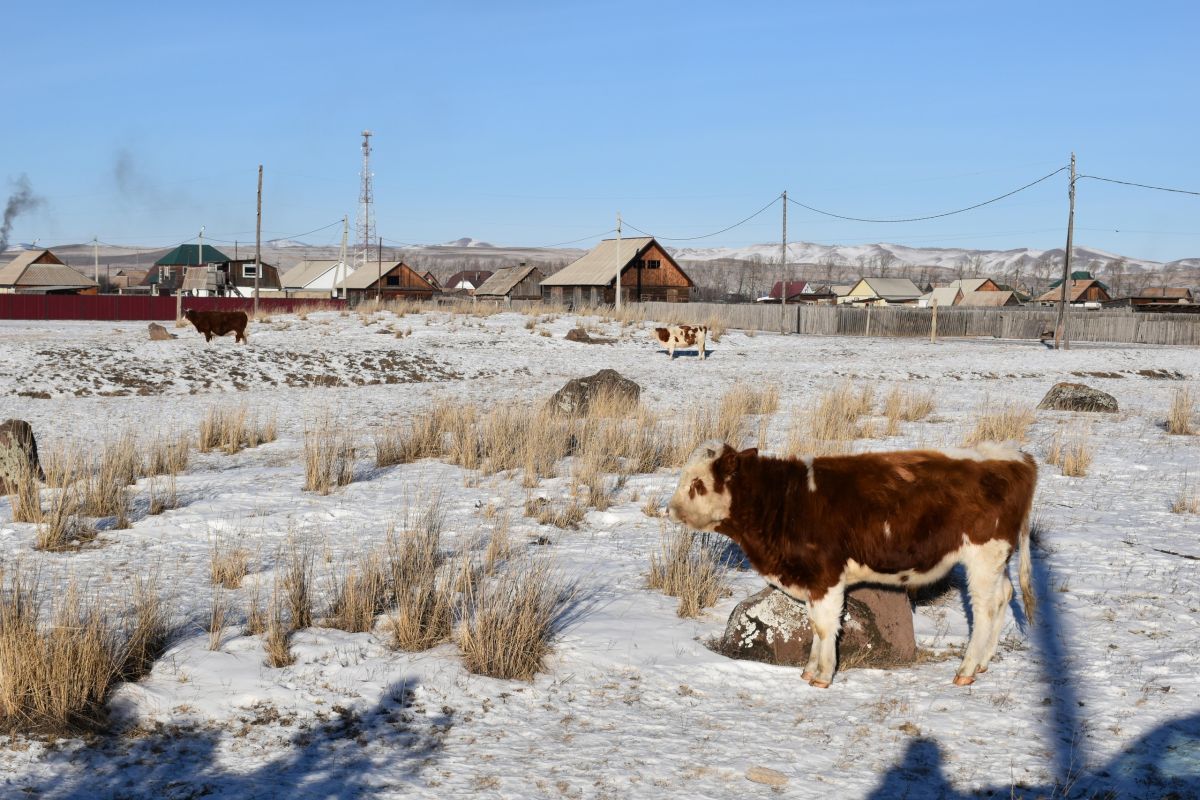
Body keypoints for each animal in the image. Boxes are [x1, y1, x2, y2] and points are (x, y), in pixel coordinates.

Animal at [672, 438, 1036, 690]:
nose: (671, 509)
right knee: (1003, 597)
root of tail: (1014, 454)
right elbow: (816, 625)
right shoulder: (814, 580)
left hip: (983, 556)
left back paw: (967, 669)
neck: (785, 501)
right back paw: (984, 663)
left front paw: (822, 675)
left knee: (985, 608)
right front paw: (809, 670)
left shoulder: (826, 575)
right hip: (997, 560)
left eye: (697, 484)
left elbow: (824, 626)